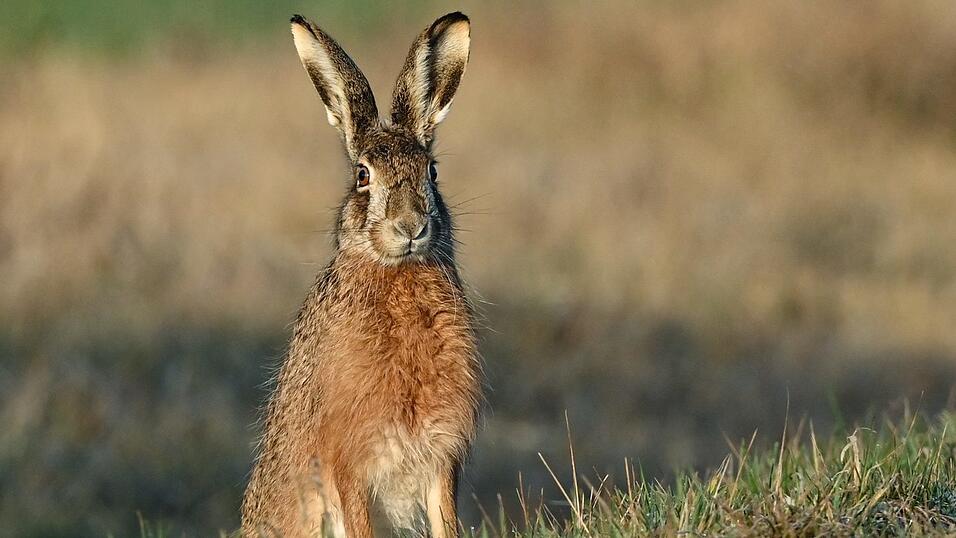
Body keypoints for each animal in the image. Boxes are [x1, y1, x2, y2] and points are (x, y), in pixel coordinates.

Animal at [240, 11, 481, 538]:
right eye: (362, 177)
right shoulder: (348, 463)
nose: (411, 226)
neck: (397, 274)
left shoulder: (440, 456)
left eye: (432, 172)